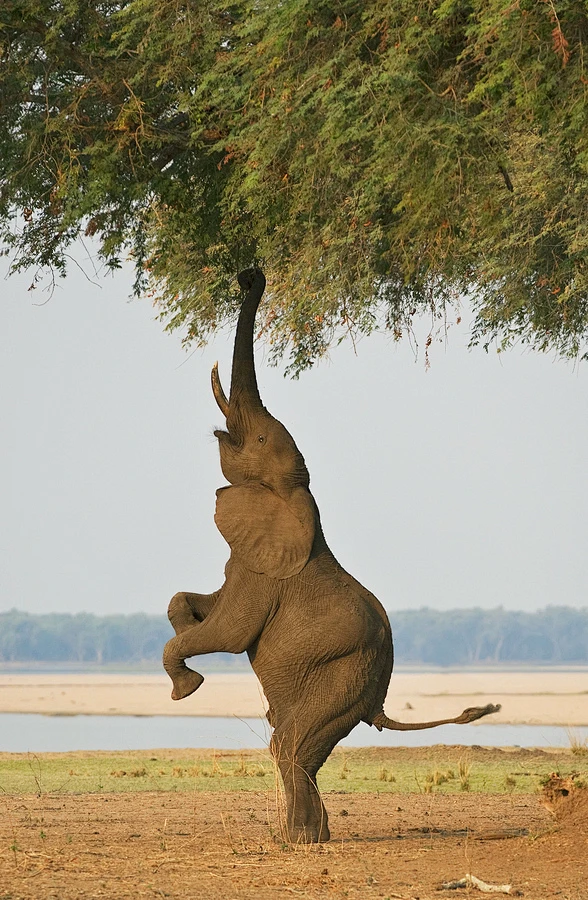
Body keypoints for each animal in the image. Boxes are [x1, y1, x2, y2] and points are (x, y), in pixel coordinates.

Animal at [163, 268, 500, 843]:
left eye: (258, 438)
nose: (251, 274)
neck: (298, 494)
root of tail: (380, 697)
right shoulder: (250, 559)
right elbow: (194, 602)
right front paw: (186, 634)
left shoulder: (267, 576)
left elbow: (229, 633)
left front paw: (187, 688)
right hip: (346, 683)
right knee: (295, 743)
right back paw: (311, 836)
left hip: (342, 677)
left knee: (292, 743)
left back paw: (299, 840)